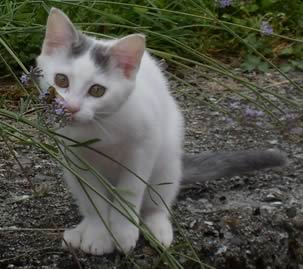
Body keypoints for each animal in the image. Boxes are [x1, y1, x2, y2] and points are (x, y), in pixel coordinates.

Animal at [36, 7, 288, 255]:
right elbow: (93, 199)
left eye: (97, 90)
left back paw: (158, 228)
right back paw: (79, 231)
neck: (99, 128)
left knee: (157, 203)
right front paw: (99, 234)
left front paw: (123, 231)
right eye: (61, 80)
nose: (71, 108)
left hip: (166, 161)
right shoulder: (76, 157)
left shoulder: (144, 147)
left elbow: (130, 191)